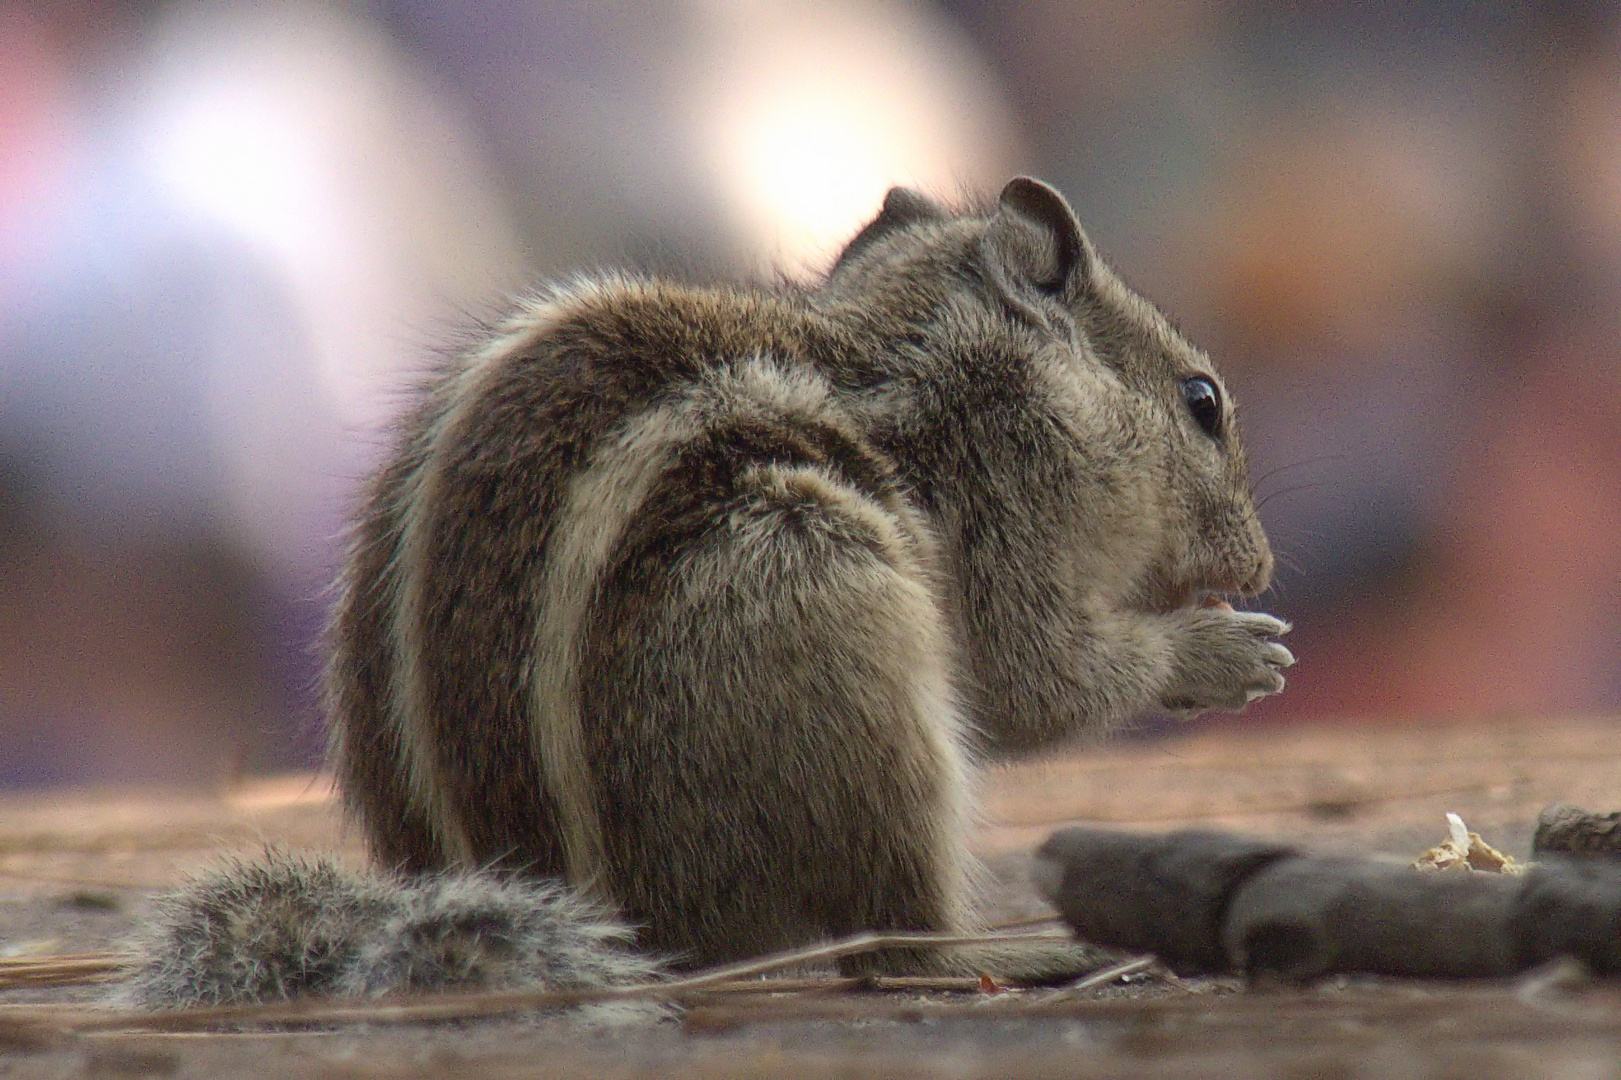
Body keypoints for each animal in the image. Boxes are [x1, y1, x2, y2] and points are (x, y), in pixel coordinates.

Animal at [119, 178, 1290, 1011]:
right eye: (1201, 403)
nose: (1260, 564)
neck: (939, 362)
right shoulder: (1007, 520)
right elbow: (1032, 680)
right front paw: (1223, 654)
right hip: (835, 636)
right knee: (890, 938)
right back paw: (1003, 958)